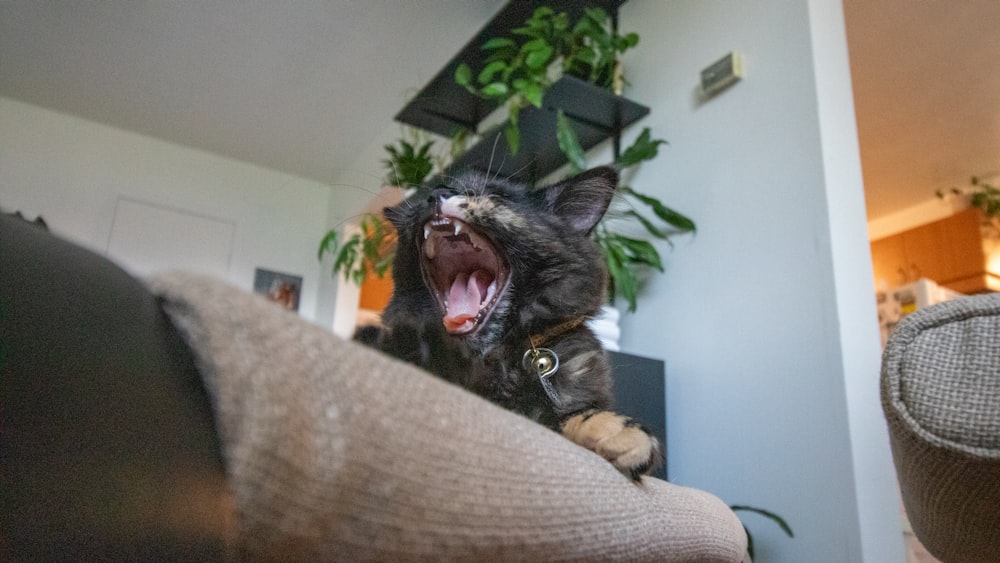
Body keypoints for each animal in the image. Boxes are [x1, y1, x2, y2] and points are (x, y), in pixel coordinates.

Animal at [362, 165, 664, 478]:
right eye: (429, 195)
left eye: (496, 197)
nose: (436, 195)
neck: (492, 360)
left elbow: (566, 417)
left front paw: (615, 430)